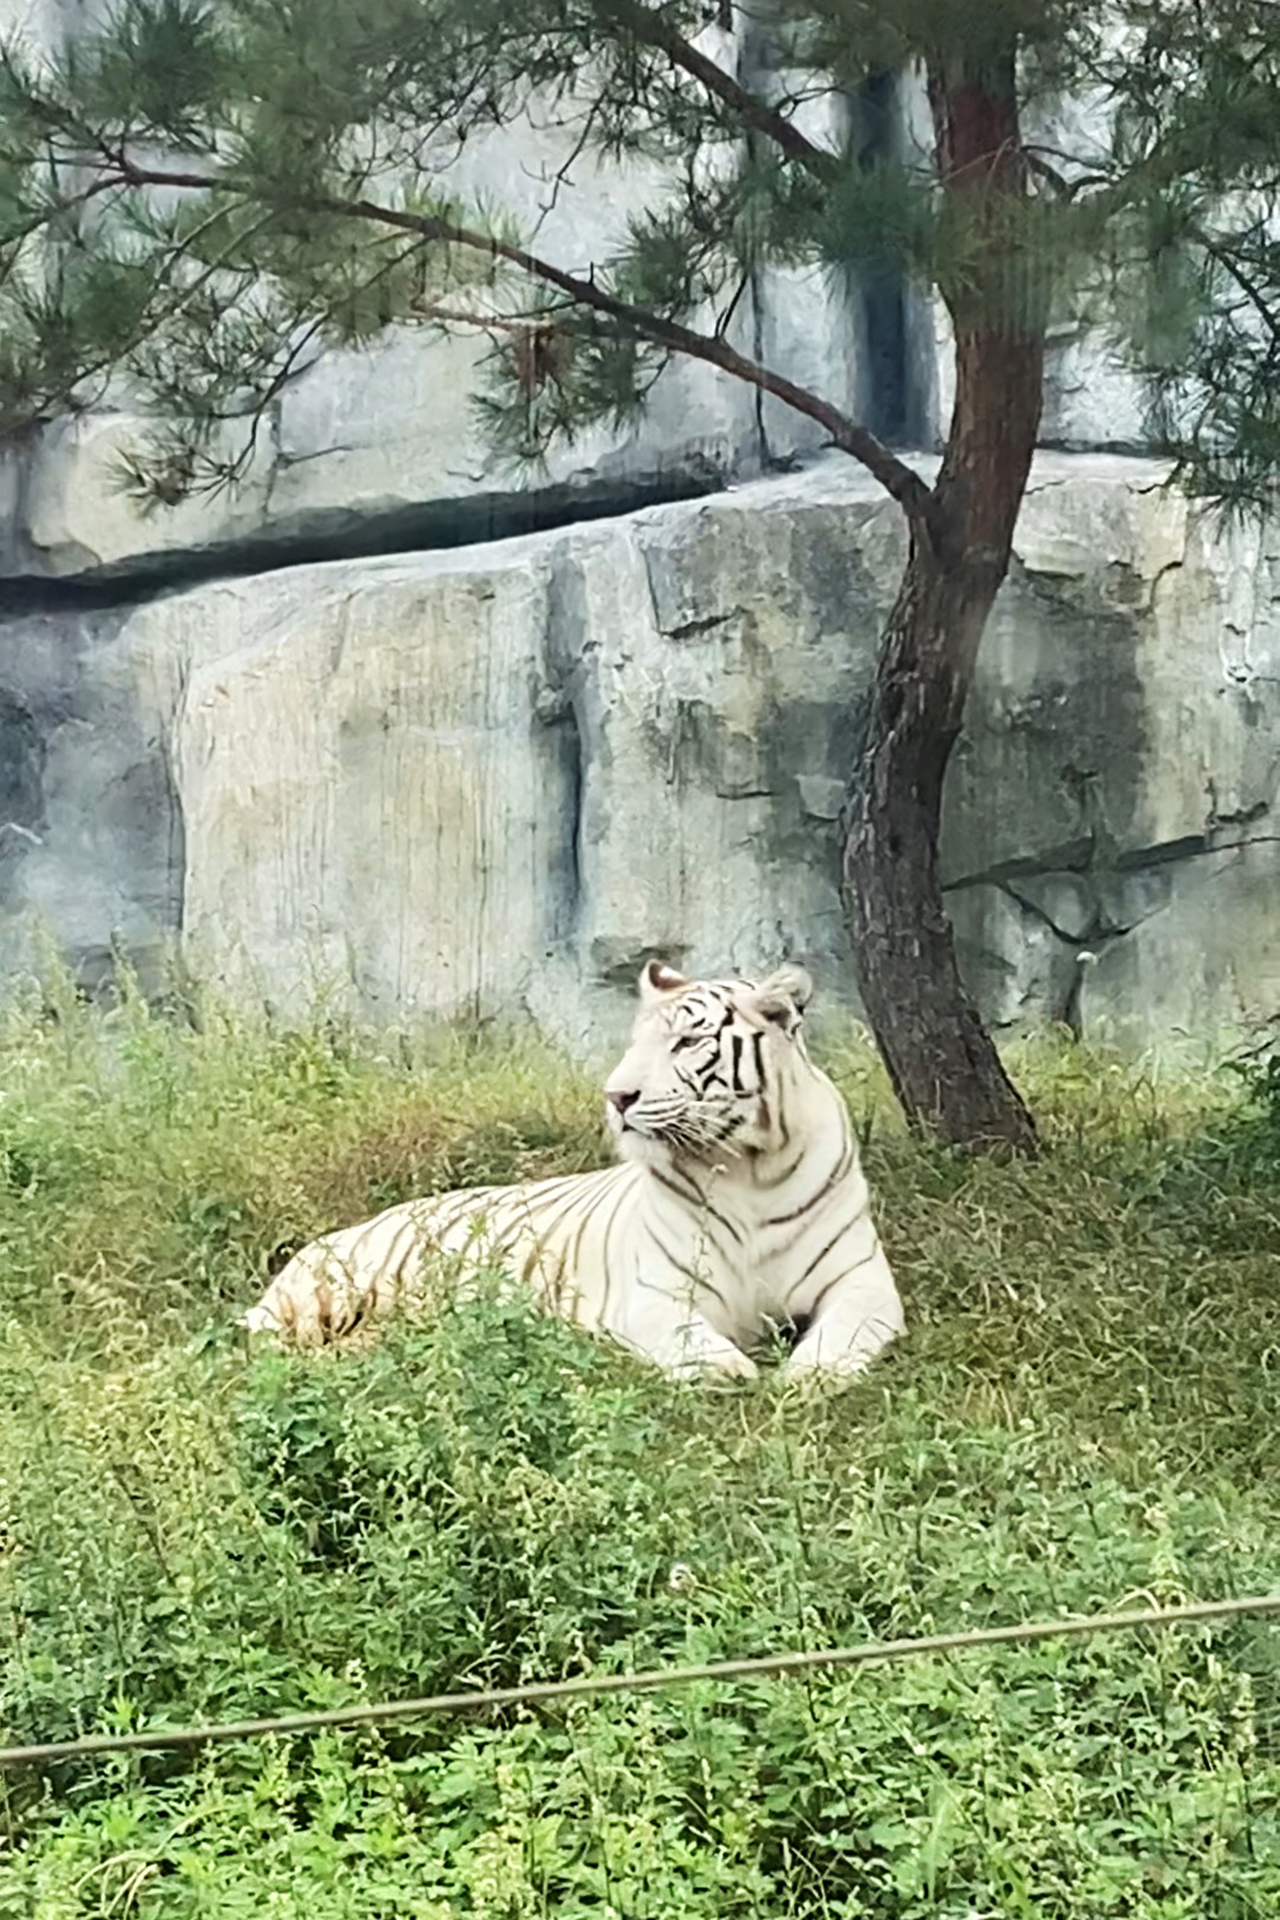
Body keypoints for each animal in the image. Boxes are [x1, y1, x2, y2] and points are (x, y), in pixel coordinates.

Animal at [242, 960, 905, 1381]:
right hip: (326, 1294)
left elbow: (844, 1336)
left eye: (687, 1043)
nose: (617, 1096)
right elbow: (695, 1345)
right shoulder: (657, 1294)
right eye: (636, 1043)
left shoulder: (862, 1281)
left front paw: (808, 1377)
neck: (746, 1167)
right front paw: (731, 1369)